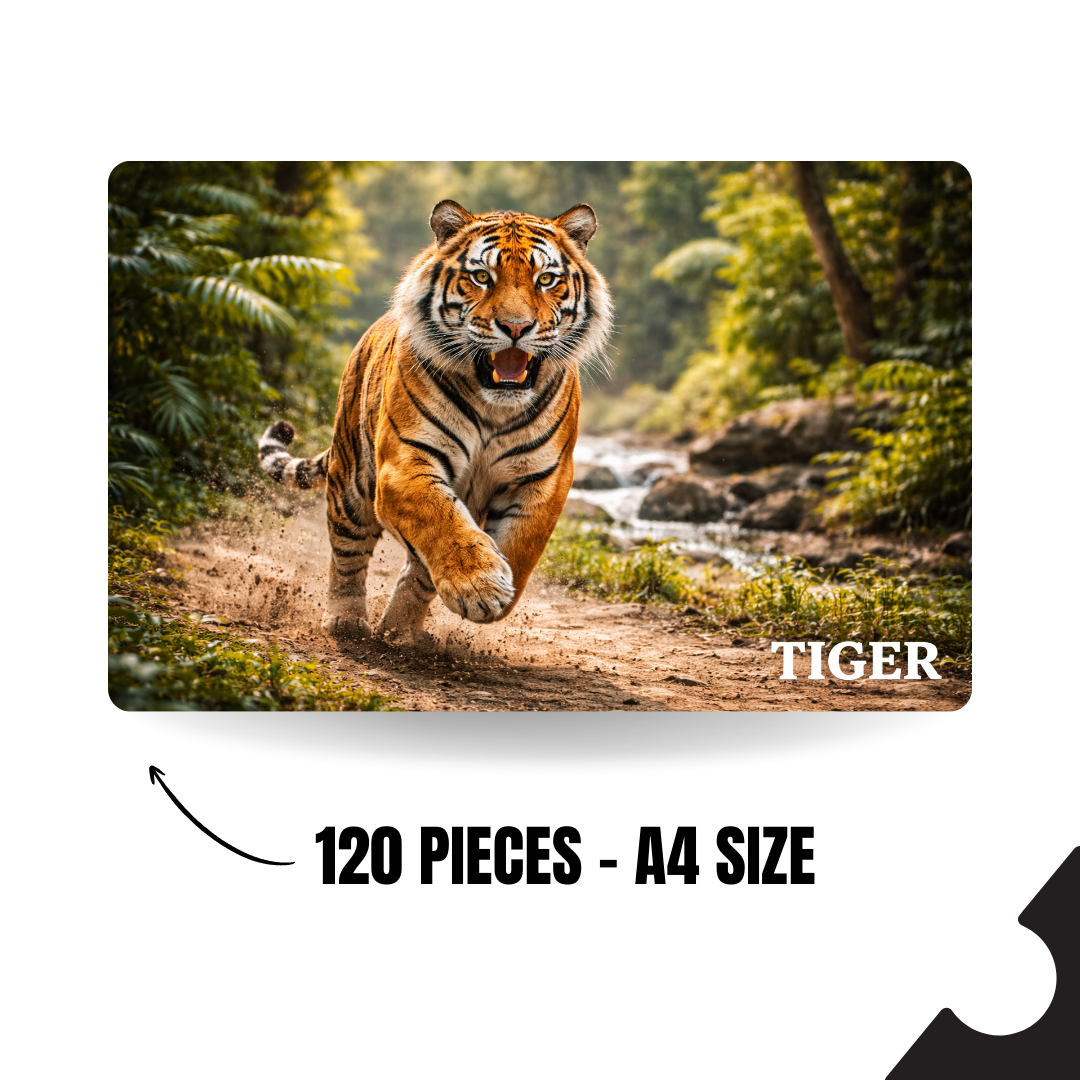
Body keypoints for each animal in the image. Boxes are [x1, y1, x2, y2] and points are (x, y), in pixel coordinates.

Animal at [257, 199, 613, 646]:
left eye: (546, 279)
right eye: (482, 277)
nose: (516, 327)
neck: (495, 406)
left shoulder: (546, 477)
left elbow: (520, 544)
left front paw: (496, 591)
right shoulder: (405, 461)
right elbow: (440, 520)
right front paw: (481, 585)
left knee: (417, 571)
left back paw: (402, 630)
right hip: (351, 484)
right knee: (347, 555)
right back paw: (346, 621)